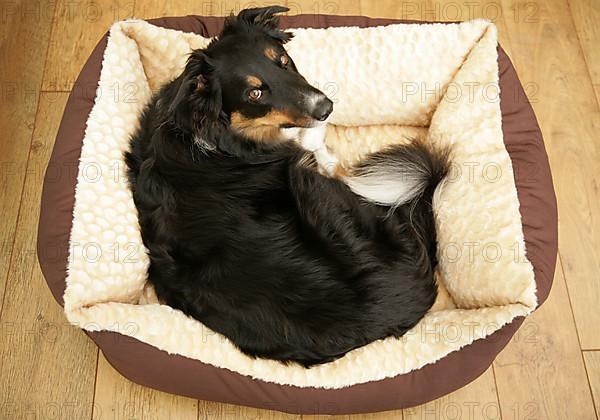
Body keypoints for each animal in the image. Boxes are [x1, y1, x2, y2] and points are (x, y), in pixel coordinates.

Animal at [124, 6, 448, 368]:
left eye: (282, 60)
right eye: (254, 93)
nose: (326, 109)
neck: (212, 137)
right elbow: (312, 143)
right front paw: (322, 146)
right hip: (308, 185)